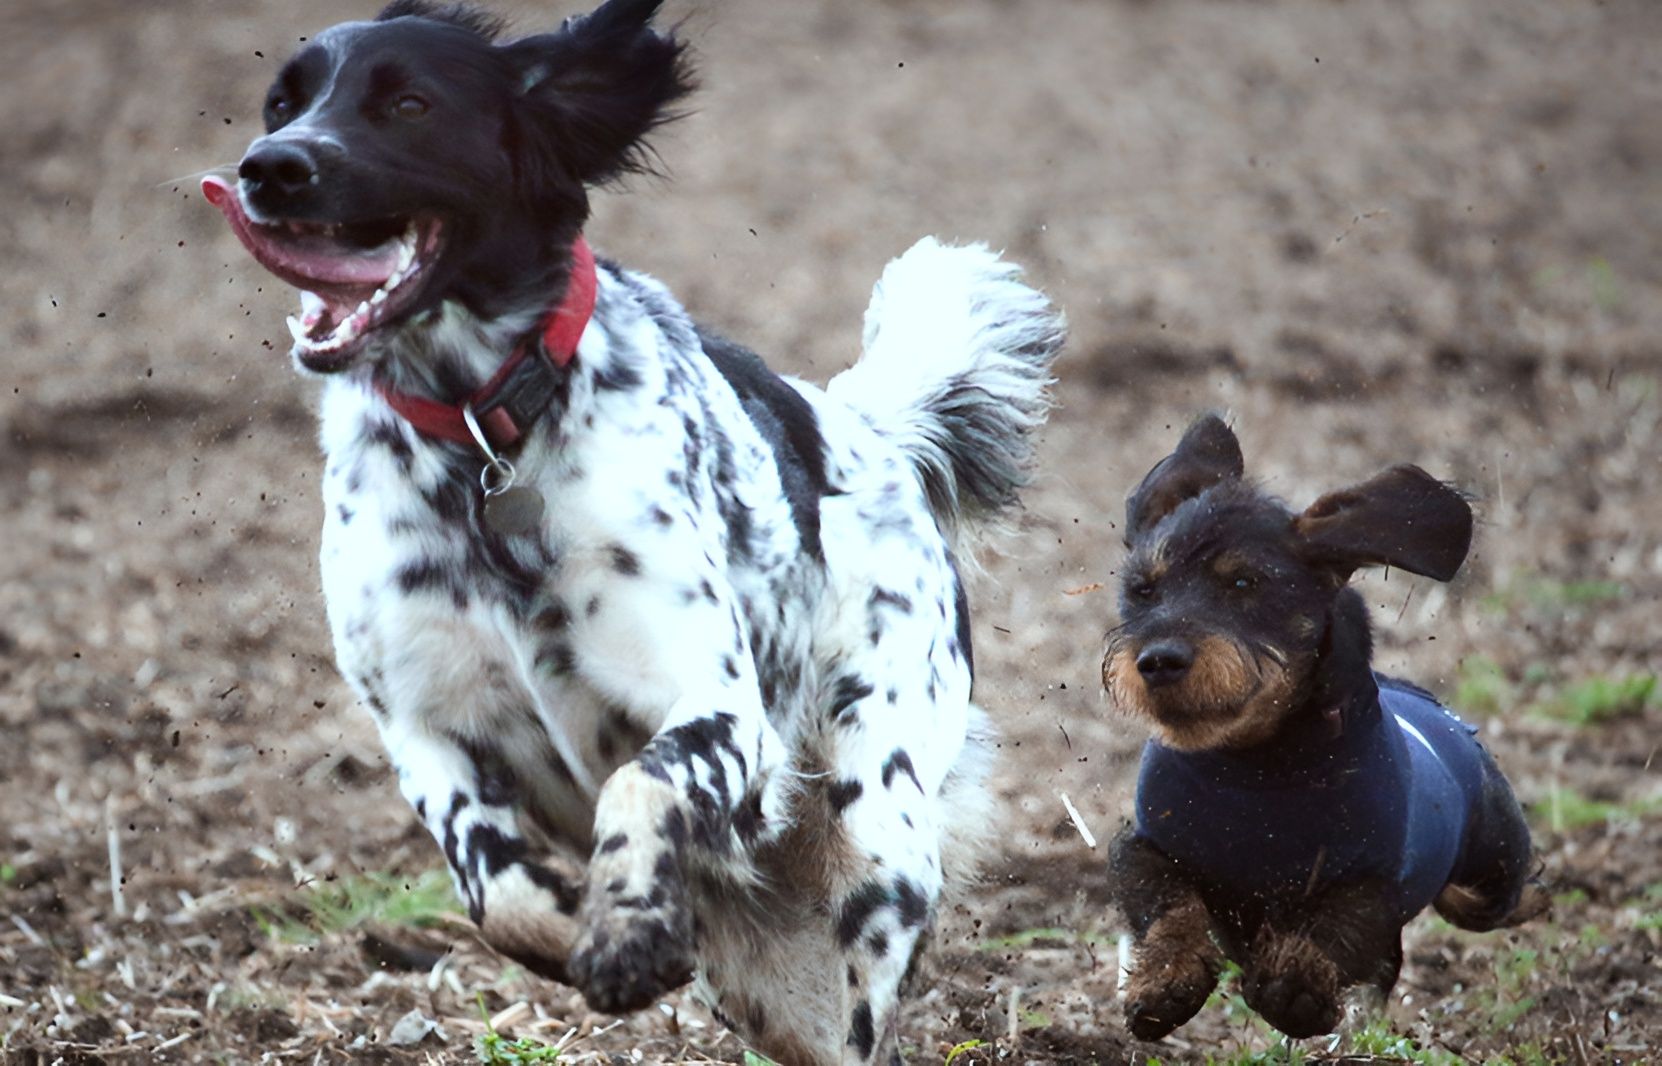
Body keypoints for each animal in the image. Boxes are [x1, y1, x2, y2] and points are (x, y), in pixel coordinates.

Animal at [204, 0, 1063, 1057]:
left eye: (409, 102)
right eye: (280, 104)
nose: (269, 168)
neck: (485, 437)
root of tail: (873, 431)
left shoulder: (717, 706)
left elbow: (639, 783)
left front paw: (623, 932)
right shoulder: (423, 727)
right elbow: (489, 886)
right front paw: (582, 925)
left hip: (879, 840)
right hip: (761, 981)